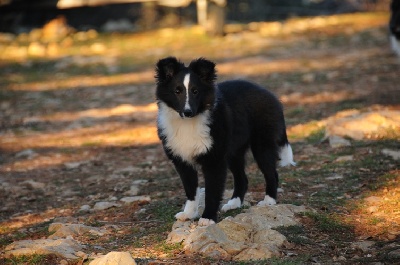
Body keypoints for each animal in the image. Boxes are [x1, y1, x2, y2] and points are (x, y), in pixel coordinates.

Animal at [155, 56, 296, 225]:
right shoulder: (181, 160)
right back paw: (234, 203)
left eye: (195, 91)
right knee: (242, 178)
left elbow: (212, 191)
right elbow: (190, 190)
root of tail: (271, 96)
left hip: (262, 145)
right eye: (177, 91)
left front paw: (207, 218)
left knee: (271, 173)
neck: (188, 124)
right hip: (234, 152)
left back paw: (269, 201)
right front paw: (188, 213)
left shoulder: (214, 160)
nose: (188, 112)